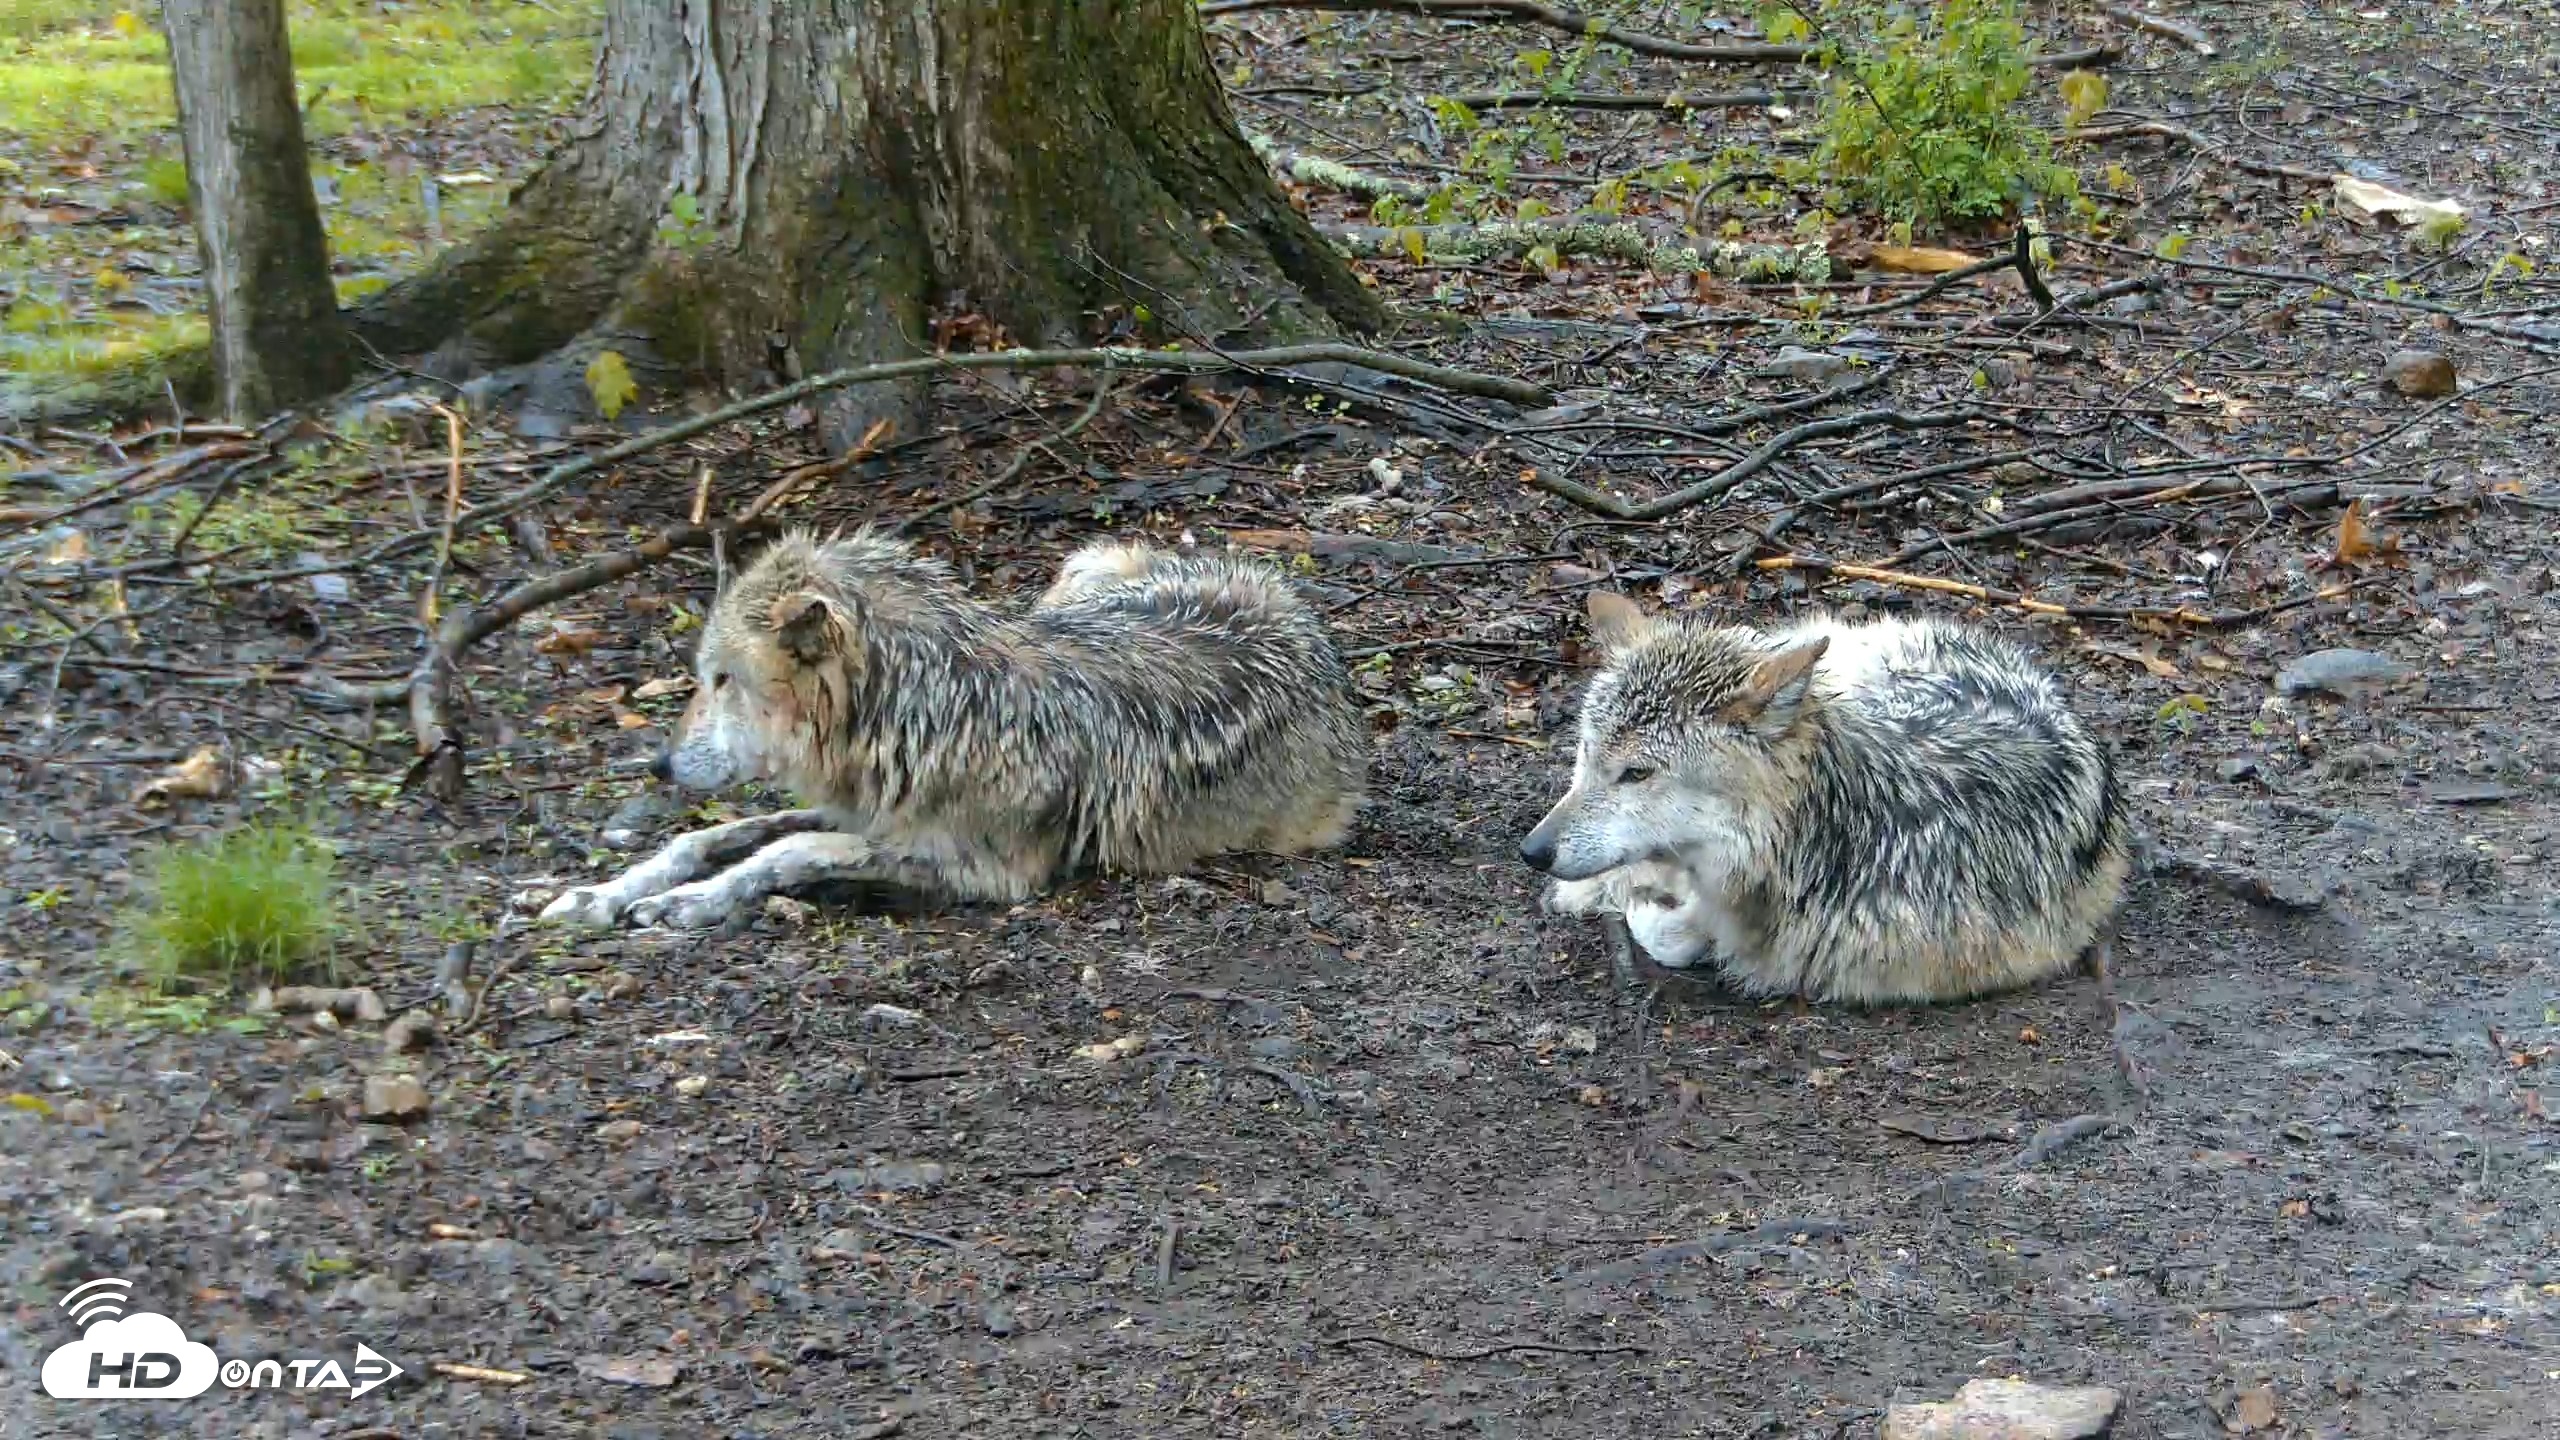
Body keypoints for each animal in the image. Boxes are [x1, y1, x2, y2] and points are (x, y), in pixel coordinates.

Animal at [540, 528, 1369, 931]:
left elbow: (788, 850)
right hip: (1075, 581)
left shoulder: (991, 873)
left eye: (721, 680)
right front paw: (600, 895)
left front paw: (690, 904)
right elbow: (713, 836)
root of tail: (1290, 596)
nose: (658, 765)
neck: (928, 710)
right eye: (701, 675)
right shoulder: (861, 804)